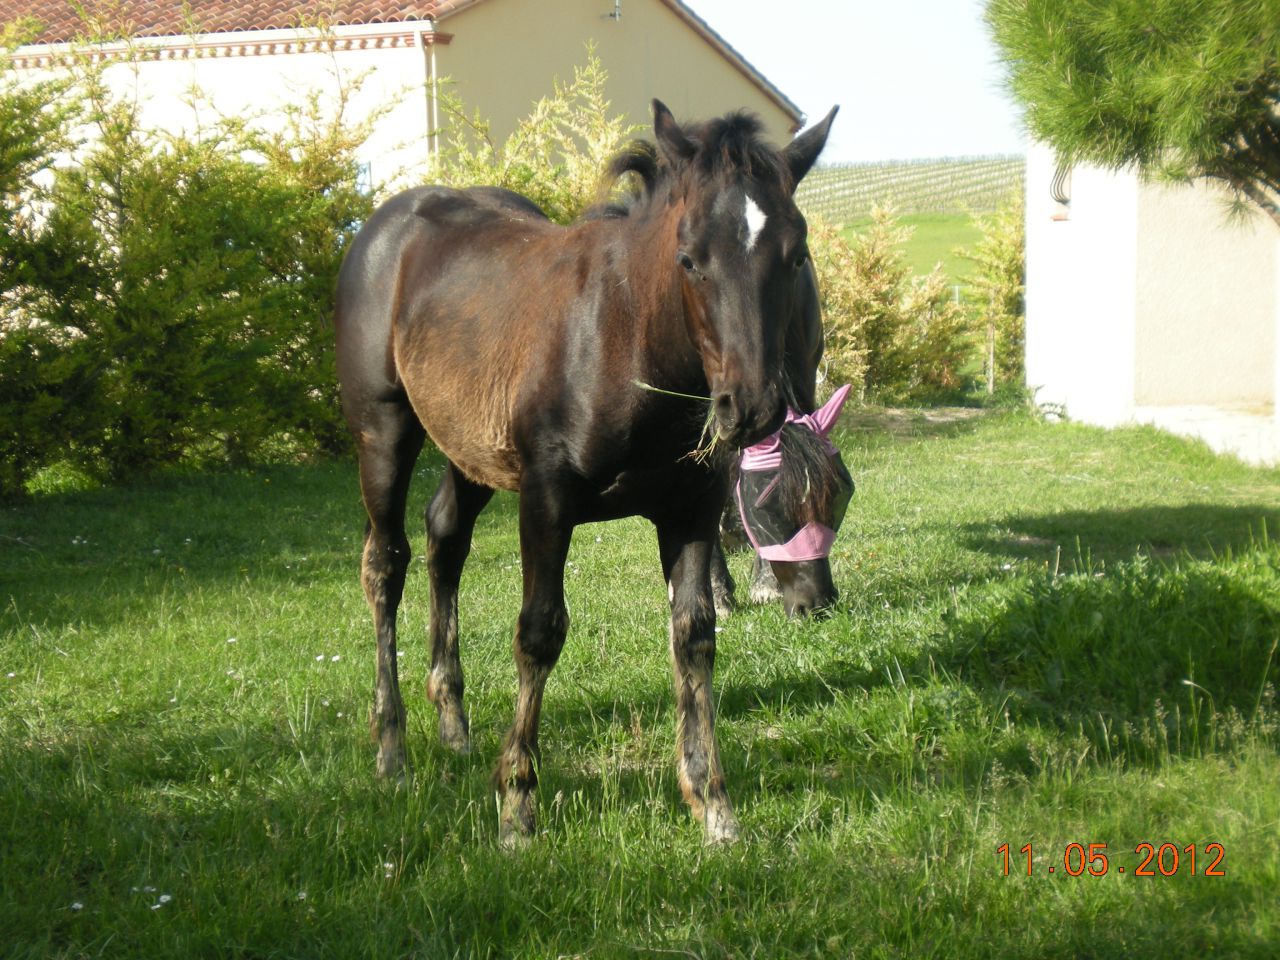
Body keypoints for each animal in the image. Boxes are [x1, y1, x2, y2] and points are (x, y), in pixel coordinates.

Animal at [334, 100, 836, 845]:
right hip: (384, 431)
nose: (750, 407)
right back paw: (392, 749)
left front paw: (713, 804)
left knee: (444, 536)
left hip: (471, 448)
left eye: (795, 253)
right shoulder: (547, 498)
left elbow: (694, 634)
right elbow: (539, 631)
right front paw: (518, 804)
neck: (626, 341)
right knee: (384, 563)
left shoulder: (689, 509)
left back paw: (452, 723)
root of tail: (385, 223)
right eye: (689, 257)